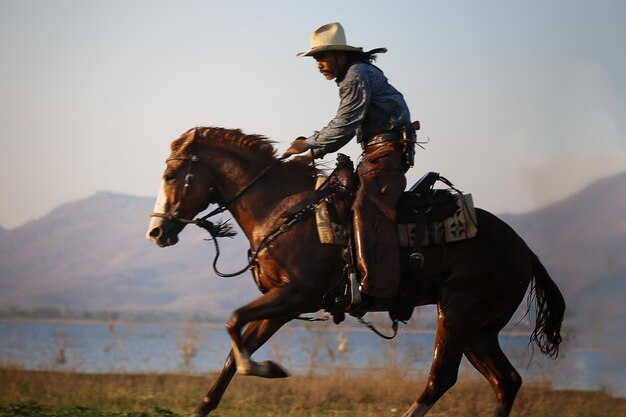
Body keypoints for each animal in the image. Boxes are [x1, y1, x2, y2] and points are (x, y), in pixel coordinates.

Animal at [145, 127, 560, 416]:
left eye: (170, 176)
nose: (156, 232)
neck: (282, 210)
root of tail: (524, 250)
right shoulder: (281, 304)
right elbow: (234, 352)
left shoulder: (295, 295)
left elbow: (233, 324)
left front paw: (266, 368)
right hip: (480, 330)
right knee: (506, 382)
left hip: (458, 313)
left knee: (440, 379)